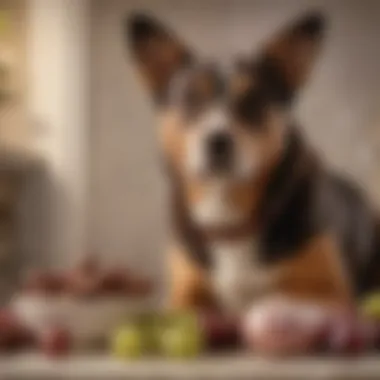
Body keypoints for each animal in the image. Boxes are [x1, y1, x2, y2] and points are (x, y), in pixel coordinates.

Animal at [124, 11, 380, 314]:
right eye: (191, 98)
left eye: (253, 101)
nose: (218, 141)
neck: (228, 209)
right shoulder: (184, 292)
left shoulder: (333, 290)